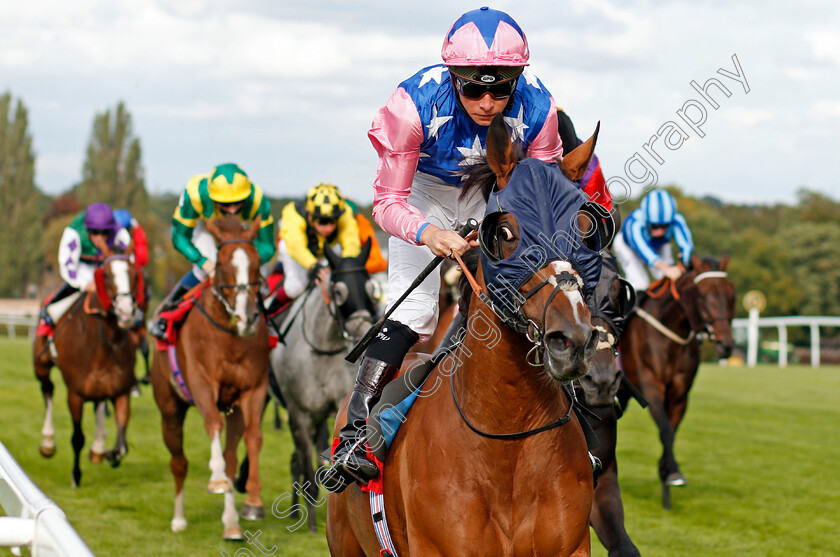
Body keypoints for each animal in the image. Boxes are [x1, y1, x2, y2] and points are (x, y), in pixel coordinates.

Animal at [32, 248, 141, 486]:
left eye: (134, 274)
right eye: (106, 275)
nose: (126, 312)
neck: (104, 342)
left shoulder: (121, 392)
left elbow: (122, 447)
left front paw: (108, 452)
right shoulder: (75, 394)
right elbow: (77, 437)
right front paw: (76, 475)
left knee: (99, 403)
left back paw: (99, 447)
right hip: (41, 365)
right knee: (47, 391)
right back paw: (48, 443)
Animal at [151, 216, 270, 540]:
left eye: (257, 263)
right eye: (224, 264)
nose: (247, 318)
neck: (230, 337)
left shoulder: (253, 388)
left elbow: (254, 437)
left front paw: (253, 502)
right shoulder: (202, 383)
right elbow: (212, 424)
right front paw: (214, 479)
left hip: (234, 410)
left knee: (231, 458)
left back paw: (231, 523)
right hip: (169, 410)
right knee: (179, 463)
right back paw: (179, 519)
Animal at [616, 256, 736, 508]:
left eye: (732, 294)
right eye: (703, 295)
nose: (725, 345)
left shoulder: (680, 394)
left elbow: (671, 429)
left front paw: (667, 472)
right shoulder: (651, 387)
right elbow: (665, 430)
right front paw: (672, 472)